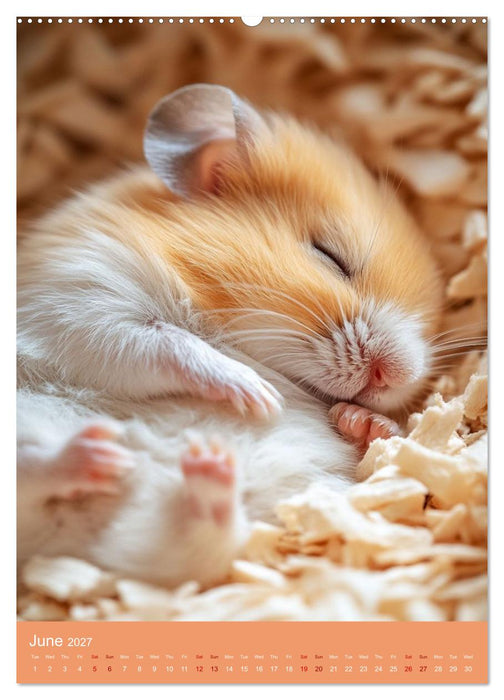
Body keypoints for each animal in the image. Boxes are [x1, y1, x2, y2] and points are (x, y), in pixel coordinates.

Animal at [17, 84, 443, 589]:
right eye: (330, 256)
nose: (396, 376)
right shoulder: (82, 304)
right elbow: (167, 345)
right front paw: (256, 394)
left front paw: (362, 420)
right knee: (28, 469)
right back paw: (94, 453)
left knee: (196, 542)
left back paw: (203, 471)